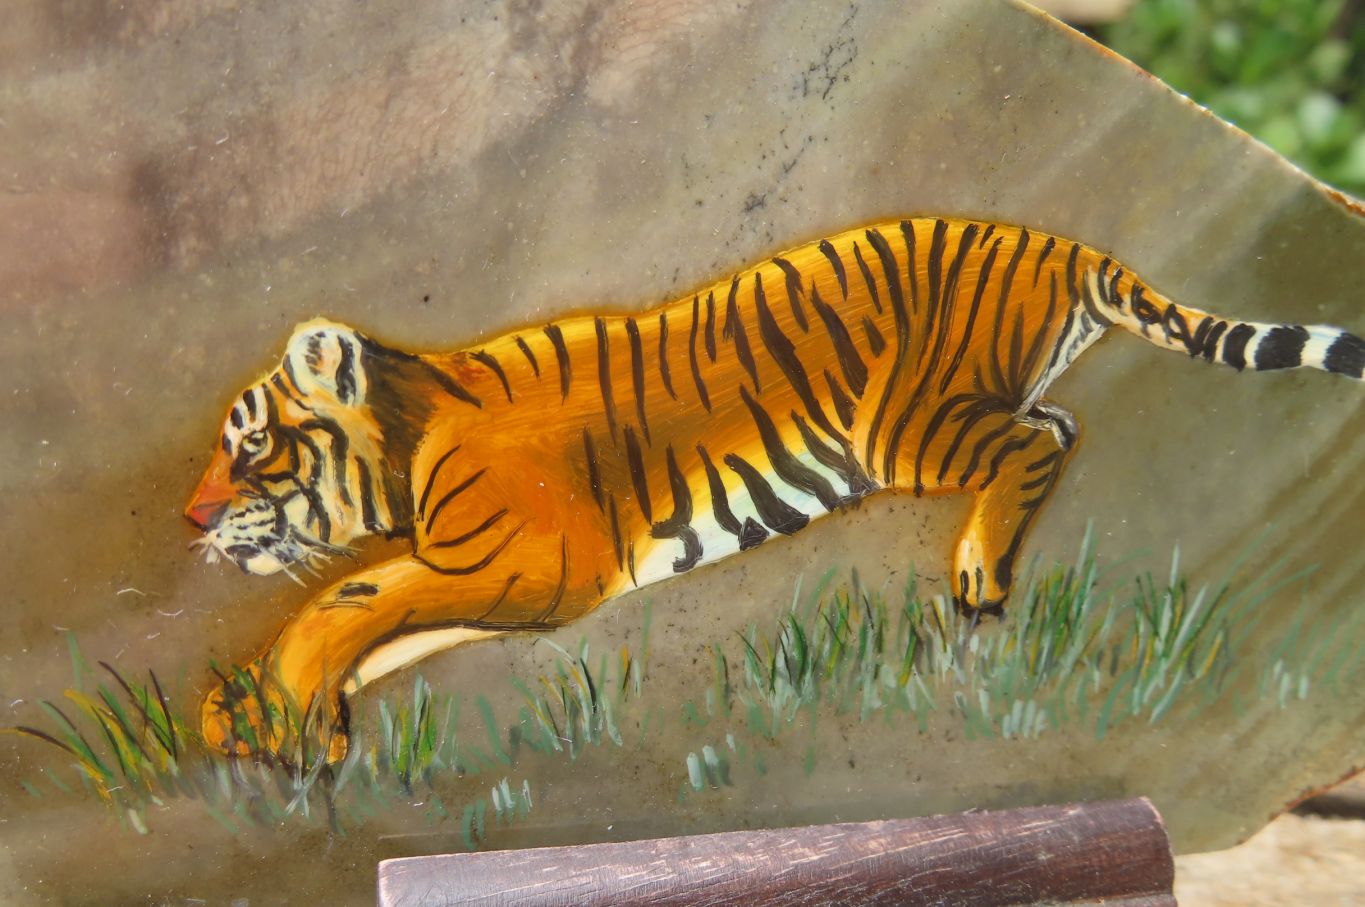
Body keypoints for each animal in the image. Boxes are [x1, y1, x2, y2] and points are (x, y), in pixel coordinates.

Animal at [187, 216, 1364, 759]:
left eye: (253, 446)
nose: (188, 518)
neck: (407, 436)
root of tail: (1054, 240)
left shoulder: (530, 566)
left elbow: (347, 597)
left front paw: (276, 719)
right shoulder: (482, 578)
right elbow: (369, 618)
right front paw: (265, 719)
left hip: (911, 430)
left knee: (1032, 446)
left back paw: (977, 574)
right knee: (1060, 428)